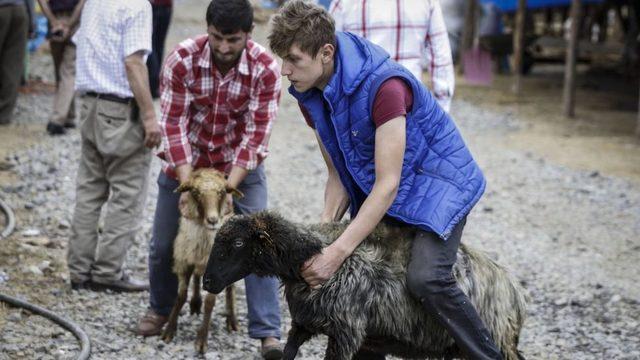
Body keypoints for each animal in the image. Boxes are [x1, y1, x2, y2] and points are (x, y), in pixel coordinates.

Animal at [162, 169, 245, 354]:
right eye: (195, 192)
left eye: (222, 192)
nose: (213, 220)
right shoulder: (185, 261)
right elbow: (181, 296)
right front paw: (169, 330)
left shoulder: (216, 270)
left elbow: (210, 303)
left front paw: (201, 341)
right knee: (197, 276)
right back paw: (195, 303)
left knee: (230, 289)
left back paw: (232, 320)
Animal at [202, 211, 528, 360]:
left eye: (239, 243)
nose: (207, 281)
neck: (313, 255)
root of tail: (514, 288)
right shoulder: (304, 323)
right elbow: (288, 352)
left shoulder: (346, 333)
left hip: (494, 336)